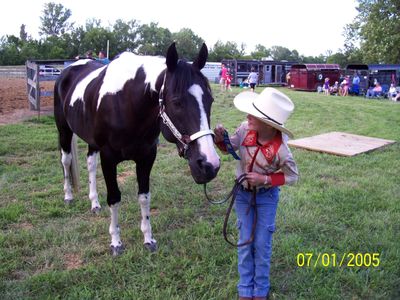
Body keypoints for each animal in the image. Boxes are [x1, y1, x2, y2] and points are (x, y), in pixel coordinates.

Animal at [54, 42, 220, 255]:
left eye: (210, 100)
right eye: (176, 102)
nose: (209, 165)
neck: (126, 103)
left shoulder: (146, 157)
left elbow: (144, 197)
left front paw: (148, 239)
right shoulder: (109, 158)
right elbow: (114, 198)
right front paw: (116, 242)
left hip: (91, 141)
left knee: (90, 164)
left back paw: (94, 203)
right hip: (64, 130)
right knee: (66, 161)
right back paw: (68, 196)